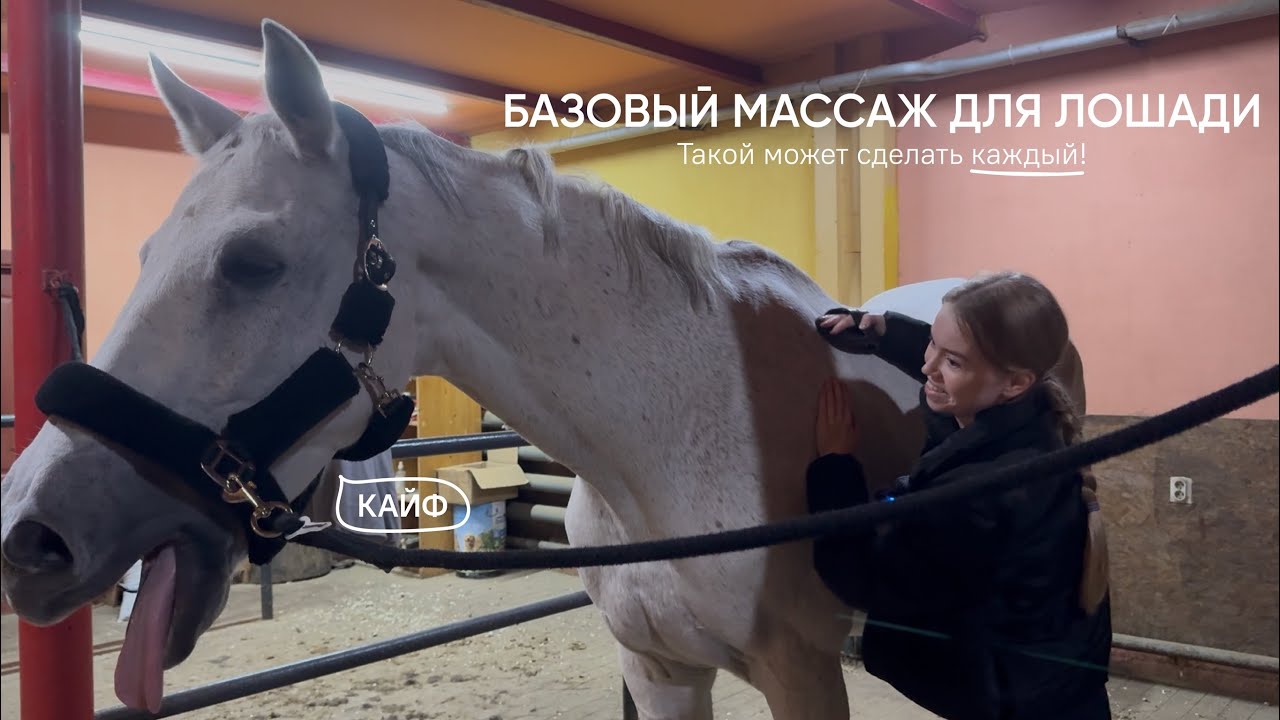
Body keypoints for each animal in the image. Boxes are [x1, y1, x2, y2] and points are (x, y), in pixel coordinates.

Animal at [0, 20, 1084, 719]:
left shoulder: (799, 672)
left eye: (251, 263)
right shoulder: (657, 670)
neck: (671, 438)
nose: (30, 538)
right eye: (142, 256)